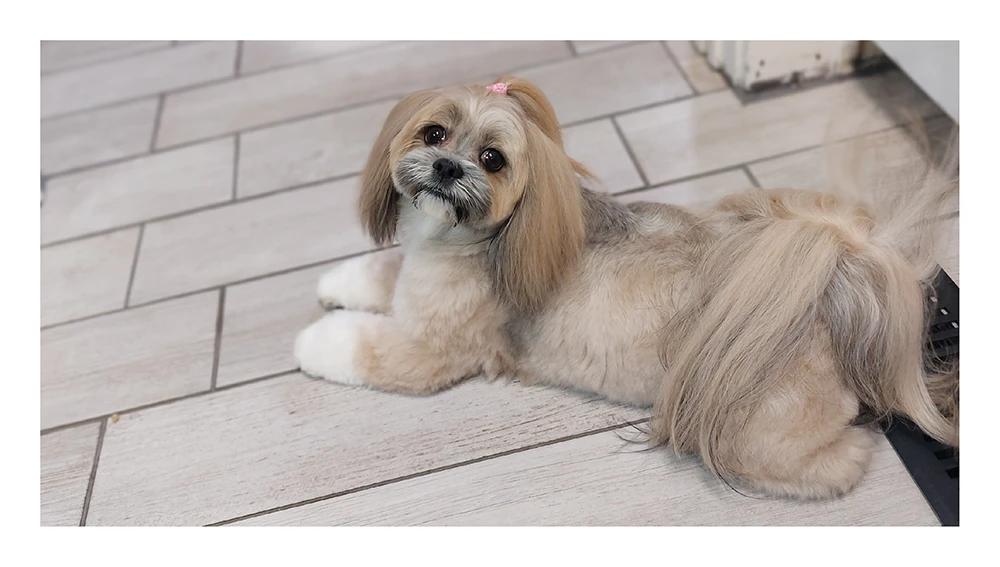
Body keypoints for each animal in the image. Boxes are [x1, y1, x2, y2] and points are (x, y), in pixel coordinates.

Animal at [292, 76, 956, 502]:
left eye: (493, 159)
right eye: (432, 134)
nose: (448, 167)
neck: (482, 238)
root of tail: (823, 305)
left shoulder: (431, 347)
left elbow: (363, 347)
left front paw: (313, 341)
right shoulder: (415, 273)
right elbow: (381, 273)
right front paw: (337, 282)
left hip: (760, 438)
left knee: (832, 464)